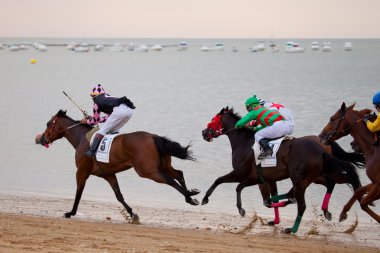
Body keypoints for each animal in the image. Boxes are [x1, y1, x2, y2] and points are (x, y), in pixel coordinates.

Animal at [35, 109, 200, 222]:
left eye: (48, 124)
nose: (40, 139)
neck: (82, 138)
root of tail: (153, 137)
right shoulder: (108, 174)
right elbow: (119, 195)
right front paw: (132, 215)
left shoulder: (81, 171)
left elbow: (78, 193)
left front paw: (70, 212)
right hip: (162, 166)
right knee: (178, 173)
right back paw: (191, 194)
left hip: (147, 171)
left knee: (170, 180)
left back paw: (189, 198)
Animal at [200, 106, 360, 233]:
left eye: (213, 119)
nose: (204, 132)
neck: (244, 143)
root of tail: (321, 149)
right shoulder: (265, 179)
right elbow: (266, 197)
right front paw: (274, 217)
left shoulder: (243, 175)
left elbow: (227, 183)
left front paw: (211, 200)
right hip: (313, 177)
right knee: (329, 184)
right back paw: (322, 210)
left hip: (300, 179)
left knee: (303, 204)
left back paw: (292, 228)